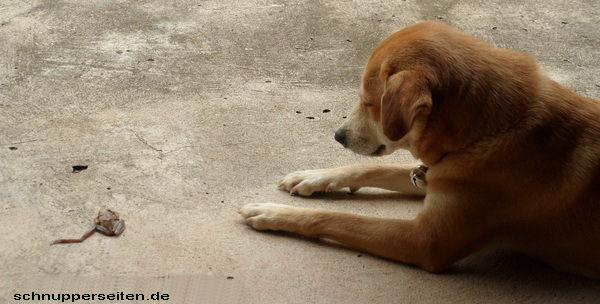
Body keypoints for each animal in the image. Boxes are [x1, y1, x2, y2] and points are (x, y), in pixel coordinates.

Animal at [240, 21, 600, 278]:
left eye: (370, 103)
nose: (338, 135)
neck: (491, 129)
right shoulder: (434, 174)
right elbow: (371, 168)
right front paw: (312, 177)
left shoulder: (423, 241)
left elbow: (338, 218)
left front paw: (274, 213)